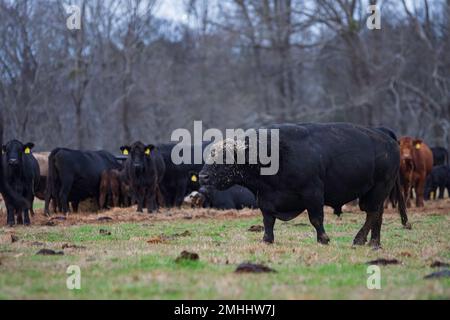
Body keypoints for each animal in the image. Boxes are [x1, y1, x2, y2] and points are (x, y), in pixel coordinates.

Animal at [200, 122, 412, 248]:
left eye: (225, 158)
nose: (202, 177)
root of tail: (383, 133)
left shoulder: (313, 193)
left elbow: (316, 219)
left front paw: (323, 239)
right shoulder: (266, 198)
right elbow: (268, 220)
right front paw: (267, 239)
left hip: (378, 188)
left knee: (372, 213)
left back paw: (359, 239)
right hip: (375, 192)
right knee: (377, 214)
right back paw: (374, 243)